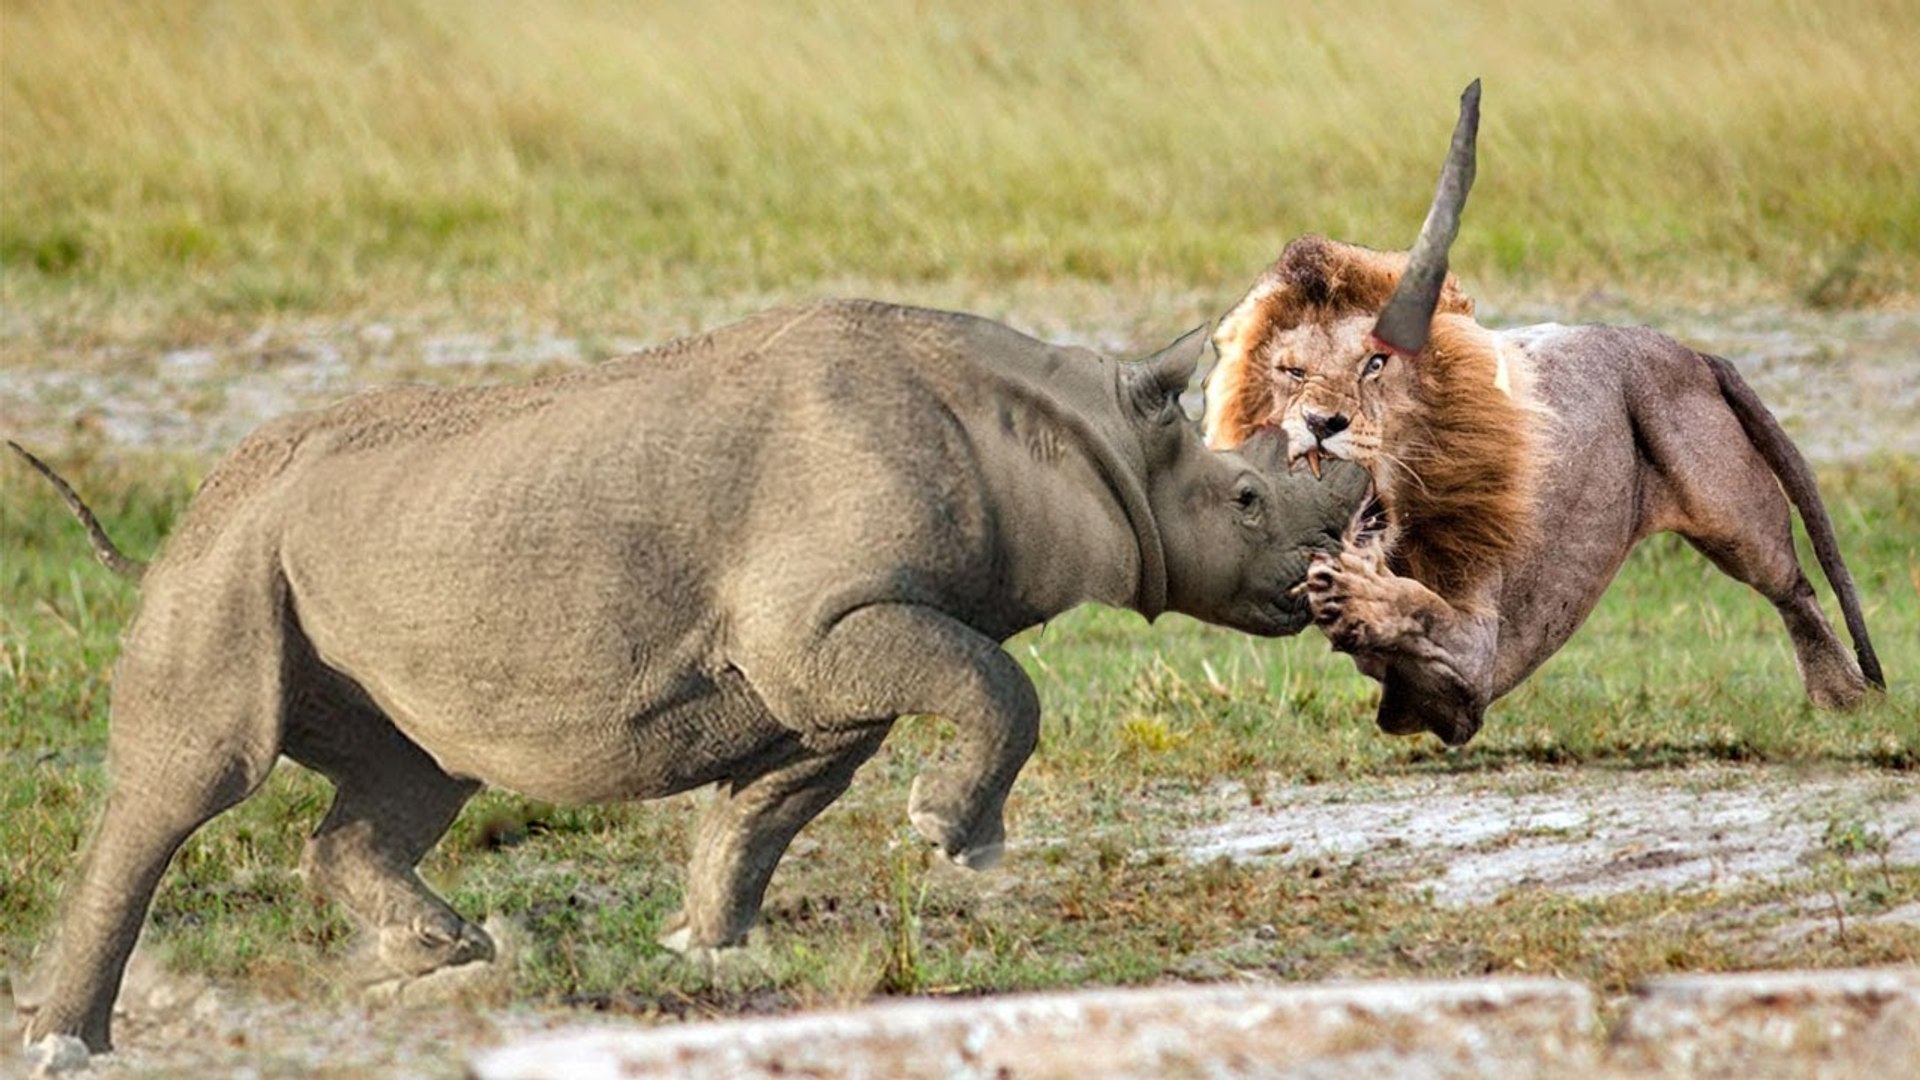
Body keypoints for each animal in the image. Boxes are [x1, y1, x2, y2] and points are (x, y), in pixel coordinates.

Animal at [16, 299, 1368, 1053]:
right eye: (1246, 501)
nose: (1324, 575)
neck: (1046, 434)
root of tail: (188, 517)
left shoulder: (811, 666)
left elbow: (772, 805)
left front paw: (708, 951)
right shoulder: (816, 626)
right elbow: (1001, 686)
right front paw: (958, 843)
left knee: (418, 770)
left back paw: (448, 955)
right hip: (230, 558)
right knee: (198, 777)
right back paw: (68, 1046)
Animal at [1203, 84, 1883, 745]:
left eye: (1376, 363)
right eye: (1292, 373)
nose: (1321, 422)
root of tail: (1692, 352)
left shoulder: (1474, 665)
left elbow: (1422, 609)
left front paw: (1354, 591)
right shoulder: (1429, 702)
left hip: (1734, 515)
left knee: (1796, 589)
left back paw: (1844, 696)